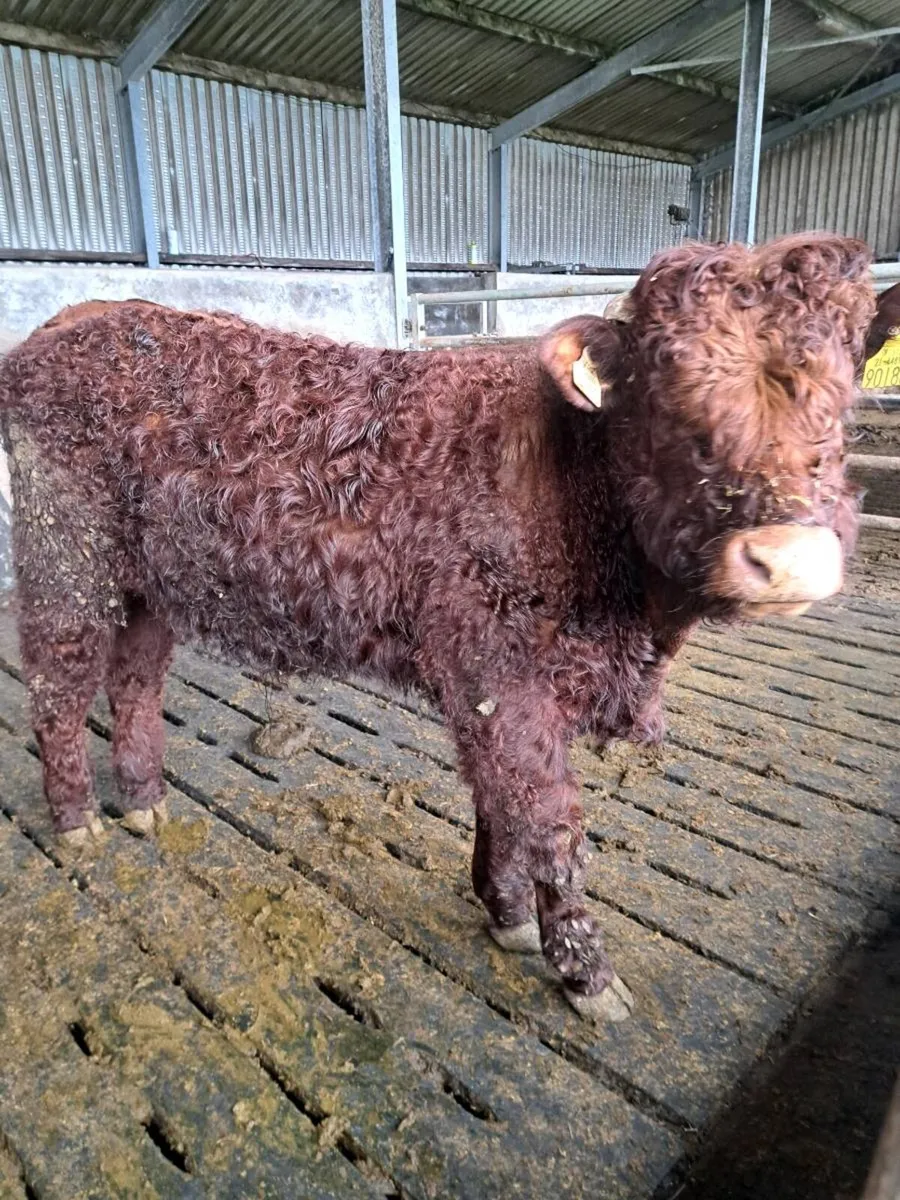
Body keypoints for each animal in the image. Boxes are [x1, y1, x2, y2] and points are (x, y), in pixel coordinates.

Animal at [0, 233, 877, 1023]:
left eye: (846, 392)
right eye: (670, 385)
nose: (791, 558)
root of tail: (76, 318)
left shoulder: (506, 685)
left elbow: (500, 800)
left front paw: (506, 912)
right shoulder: (498, 670)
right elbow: (548, 820)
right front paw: (585, 971)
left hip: (147, 582)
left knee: (134, 677)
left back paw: (144, 800)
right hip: (63, 555)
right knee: (58, 683)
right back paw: (78, 821)